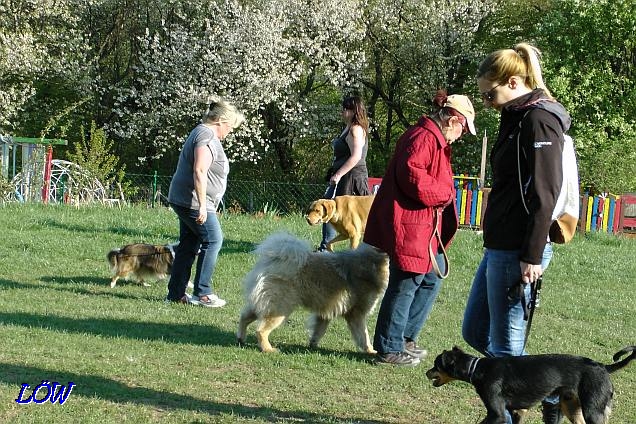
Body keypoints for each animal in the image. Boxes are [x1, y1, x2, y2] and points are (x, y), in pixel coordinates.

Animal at [237, 232, 390, 352]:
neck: (372, 262)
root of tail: (271, 262)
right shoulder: (356, 314)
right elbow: (363, 335)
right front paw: (370, 350)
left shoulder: (326, 311)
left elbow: (319, 330)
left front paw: (313, 345)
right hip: (279, 309)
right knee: (261, 330)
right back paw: (268, 349)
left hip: (262, 303)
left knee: (244, 317)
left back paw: (241, 339)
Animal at [424, 346, 632, 422]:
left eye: (436, 364)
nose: (426, 372)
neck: (478, 368)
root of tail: (603, 367)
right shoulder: (512, 412)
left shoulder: (497, 413)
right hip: (571, 406)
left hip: (592, 410)